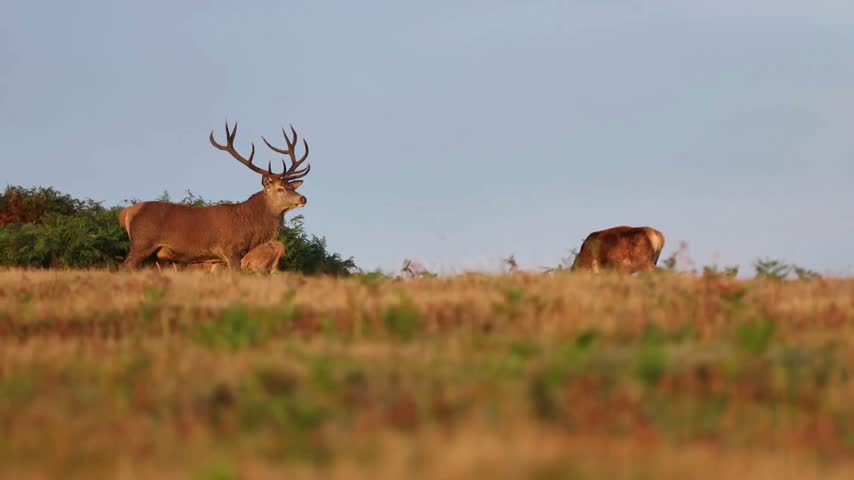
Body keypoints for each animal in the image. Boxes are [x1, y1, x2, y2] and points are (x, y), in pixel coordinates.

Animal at [119, 121, 310, 271]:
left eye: (291, 186)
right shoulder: (231, 250)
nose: (303, 198)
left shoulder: (217, 260)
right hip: (142, 242)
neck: (249, 225)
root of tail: (127, 212)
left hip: (154, 255)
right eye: (280, 188)